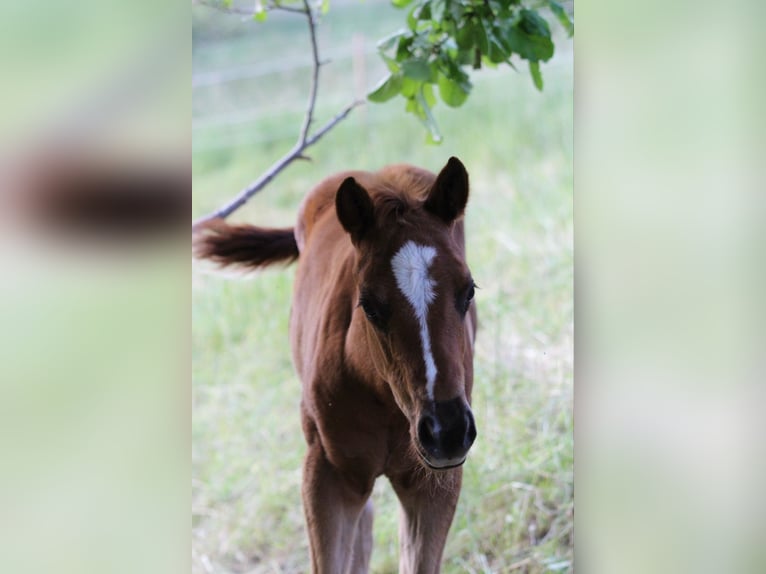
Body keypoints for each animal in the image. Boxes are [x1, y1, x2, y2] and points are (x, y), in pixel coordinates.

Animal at [195, 158, 476, 574]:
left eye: (469, 290)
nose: (447, 431)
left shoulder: (434, 480)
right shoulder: (327, 474)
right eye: (370, 306)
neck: (388, 405)